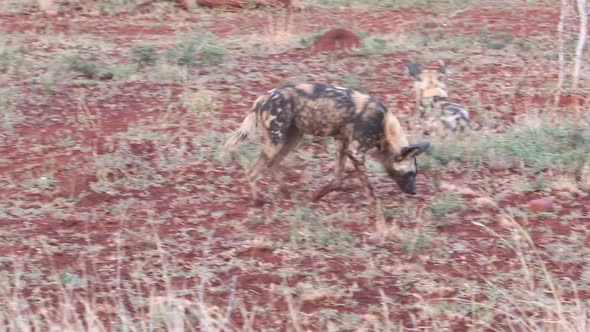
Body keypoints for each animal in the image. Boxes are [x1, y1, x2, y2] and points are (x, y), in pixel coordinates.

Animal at [221, 83, 430, 218]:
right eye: (410, 174)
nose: (414, 191)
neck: (384, 124)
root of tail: (264, 96)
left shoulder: (341, 143)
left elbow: (337, 180)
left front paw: (316, 196)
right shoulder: (355, 151)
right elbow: (368, 189)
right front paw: (376, 209)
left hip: (292, 139)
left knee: (272, 165)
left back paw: (287, 194)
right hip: (276, 142)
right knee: (252, 171)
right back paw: (257, 201)